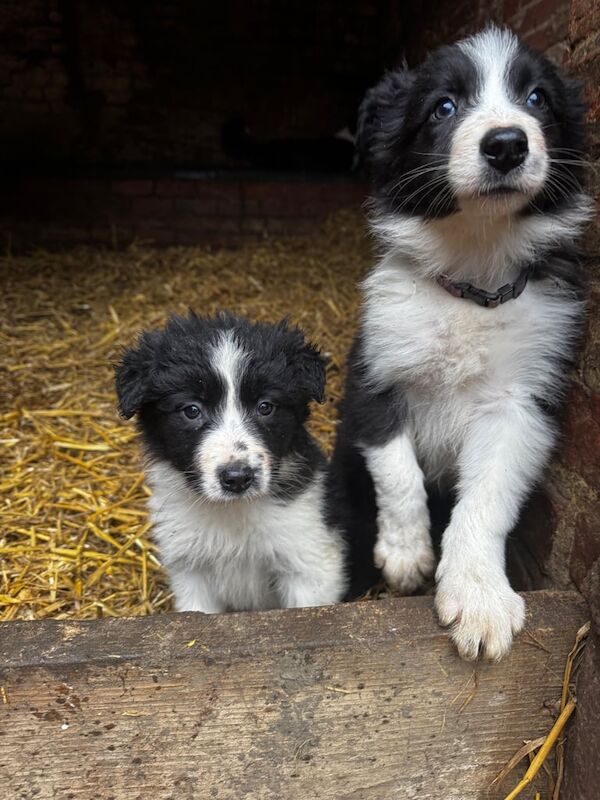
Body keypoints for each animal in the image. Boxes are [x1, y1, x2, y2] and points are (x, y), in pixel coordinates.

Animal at [115, 312, 346, 612]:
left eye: (265, 407)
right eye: (192, 410)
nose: (237, 479)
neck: (233, 511)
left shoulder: (309, 561)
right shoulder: (191, 572)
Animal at [328, 28, 592, 660]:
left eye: (537, 99)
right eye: (443, 107)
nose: (507, 144)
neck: (473, 282)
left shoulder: (520, 404)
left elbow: (488, 497)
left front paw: (478, 594)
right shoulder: (375, 375)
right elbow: (398, 474)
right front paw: (406, 556)